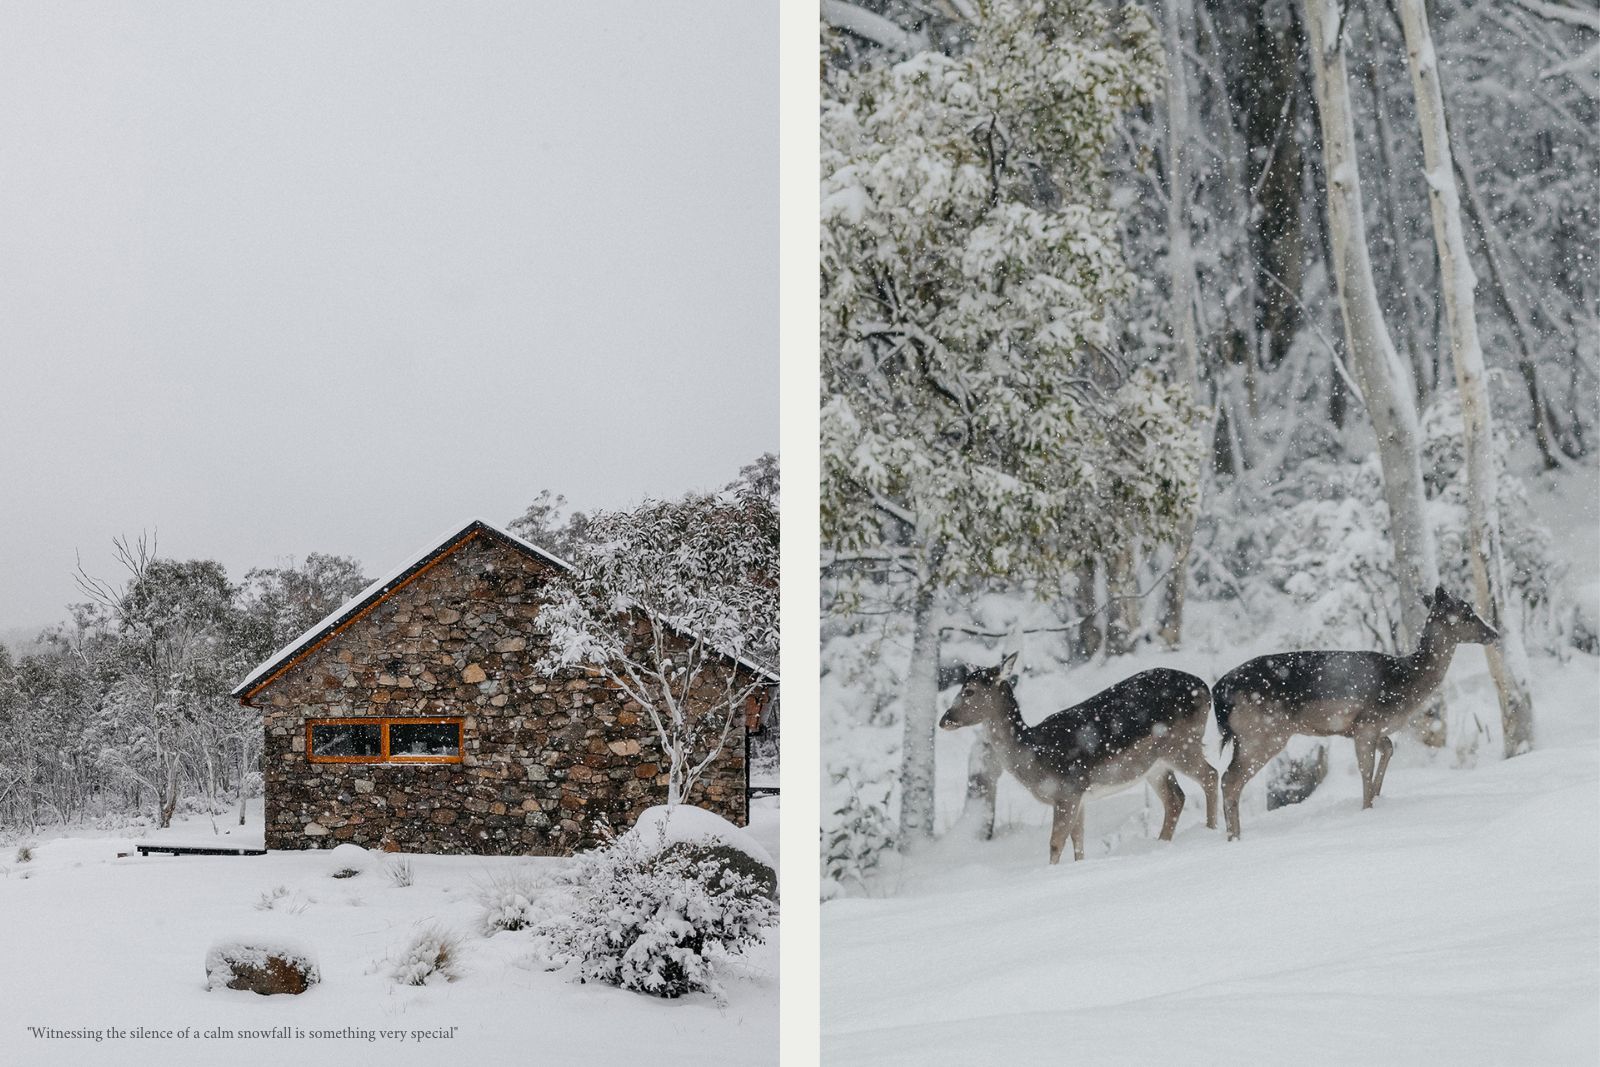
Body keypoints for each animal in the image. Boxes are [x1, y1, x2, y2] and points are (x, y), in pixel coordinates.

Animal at [934, 652, 1216, 870]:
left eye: (969, 691)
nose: (944, 720)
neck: (1034, 755)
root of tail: (1205, 688)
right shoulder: (1079, 795)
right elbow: (1078, 841)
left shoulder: (1067, 790)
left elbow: (1055, 843)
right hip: (1155, 766)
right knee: (1176, 798)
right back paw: (1162, 843)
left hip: (1182, 744)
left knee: (1210, 775)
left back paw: (1211, 830)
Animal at [1216, 585, 1504, 844]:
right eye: (1466, 612)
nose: (1494, 633)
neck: (1405, 683)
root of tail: (1221, 692)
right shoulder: (1367, 723)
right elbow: (1365, 768)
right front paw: (1366, 809)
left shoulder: (1367, 728)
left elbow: (1387, 750)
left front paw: (1377, 798)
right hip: (1262, 733)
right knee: (1230, 779)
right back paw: (1234, 838)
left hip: (1248, 737)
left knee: (1228, 778)